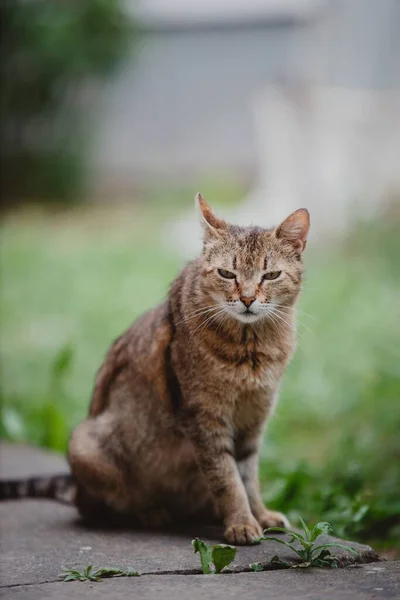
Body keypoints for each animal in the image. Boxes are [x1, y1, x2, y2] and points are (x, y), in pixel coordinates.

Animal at [0, 195, 310, 548]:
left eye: (270, 275)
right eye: (226, 273)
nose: (246, 299)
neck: (251, 347)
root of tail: (76, 485)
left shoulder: (255, 416)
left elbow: (248, 475)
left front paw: (260, 514)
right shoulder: (204, 418)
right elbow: (228, 478)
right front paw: (242, 523)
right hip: (85, 444)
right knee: (97, 507)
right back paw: (150, 512)